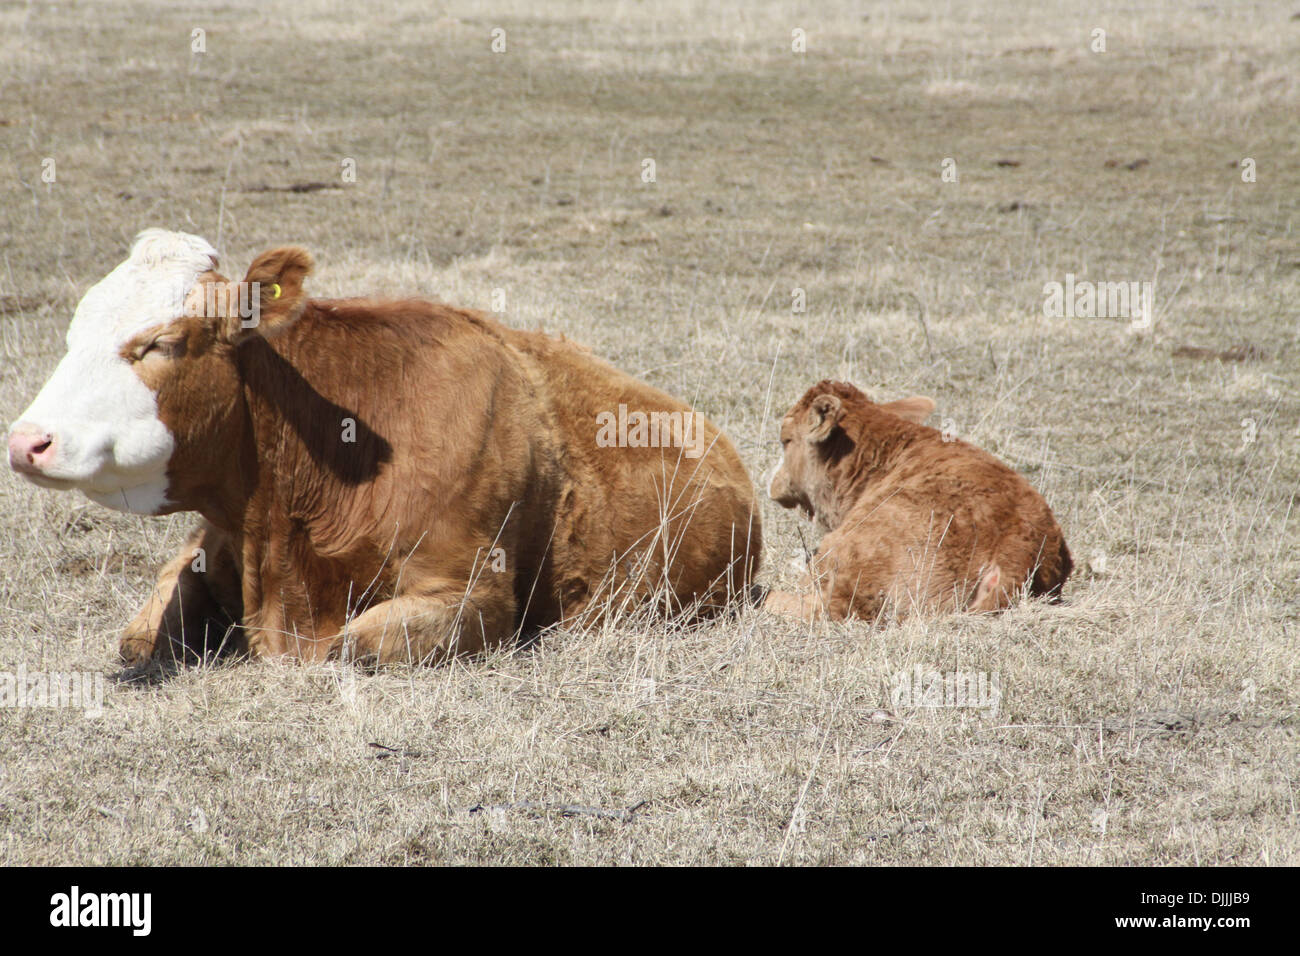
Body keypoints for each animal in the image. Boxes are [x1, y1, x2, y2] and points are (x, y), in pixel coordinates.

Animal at [8, 229, 762, 665]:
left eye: (163, 343)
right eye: (72, 330)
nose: (25, 441)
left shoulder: (472, 593)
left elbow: (352, 650)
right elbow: (141, 635)